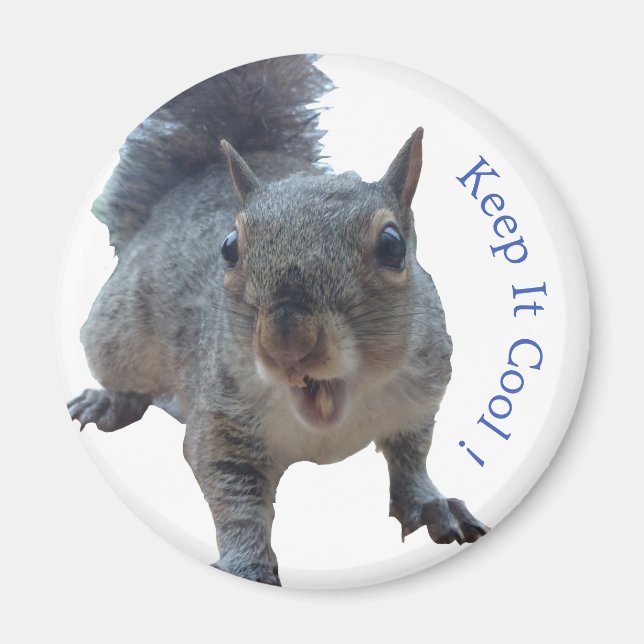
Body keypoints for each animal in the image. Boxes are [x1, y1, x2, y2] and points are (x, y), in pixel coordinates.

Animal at [68, 54, 489, 586]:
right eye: (229, 247)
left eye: (393, 246)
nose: (286, 342)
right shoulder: (220, 421)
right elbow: (236, 502)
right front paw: (247, 567)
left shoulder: (420, 398)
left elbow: (411, 459)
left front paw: (432, 504)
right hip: (115, 333)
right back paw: (108, 400)